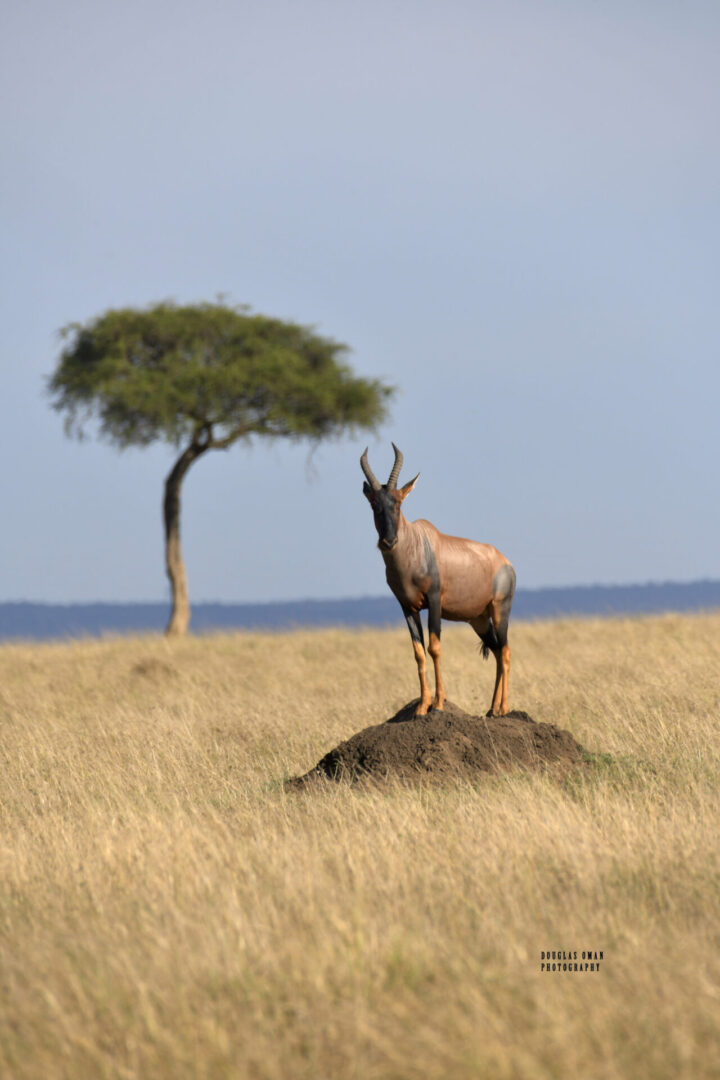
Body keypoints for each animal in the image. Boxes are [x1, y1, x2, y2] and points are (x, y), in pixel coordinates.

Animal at [362, 442, 515, 712]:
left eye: (398, 503)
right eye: (373, 504)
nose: (388, 542)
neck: (416, 544)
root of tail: (506, 563)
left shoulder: (434, 601)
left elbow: (434, 648)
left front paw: (439, 703)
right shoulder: (407, 607)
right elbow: (418, 652)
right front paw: (422, 706)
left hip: (500, 610)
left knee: (505, 652)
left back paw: (503, 709)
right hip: (478, 619)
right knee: (497, 651)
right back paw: (491, 709)